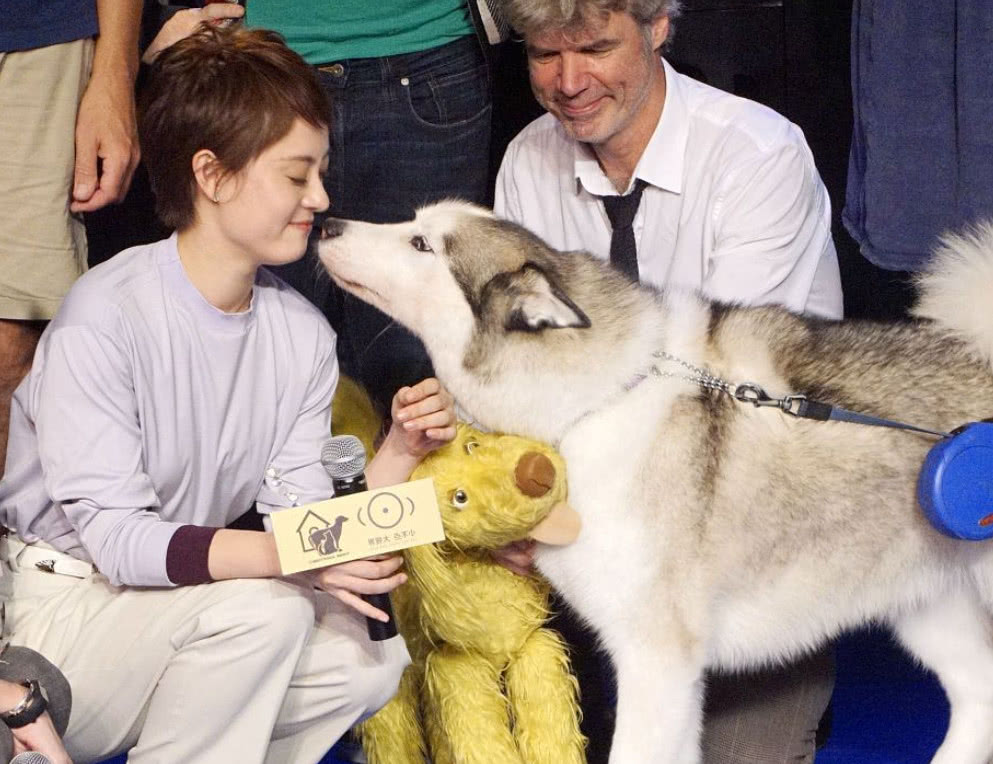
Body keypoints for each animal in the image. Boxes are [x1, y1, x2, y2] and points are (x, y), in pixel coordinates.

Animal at [320, 201, 993, 764]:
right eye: (414, 225)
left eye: (421, 244)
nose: (327, 224)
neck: (593, 402)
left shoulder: (657, 662)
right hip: (926, 607)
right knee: (978, 698)